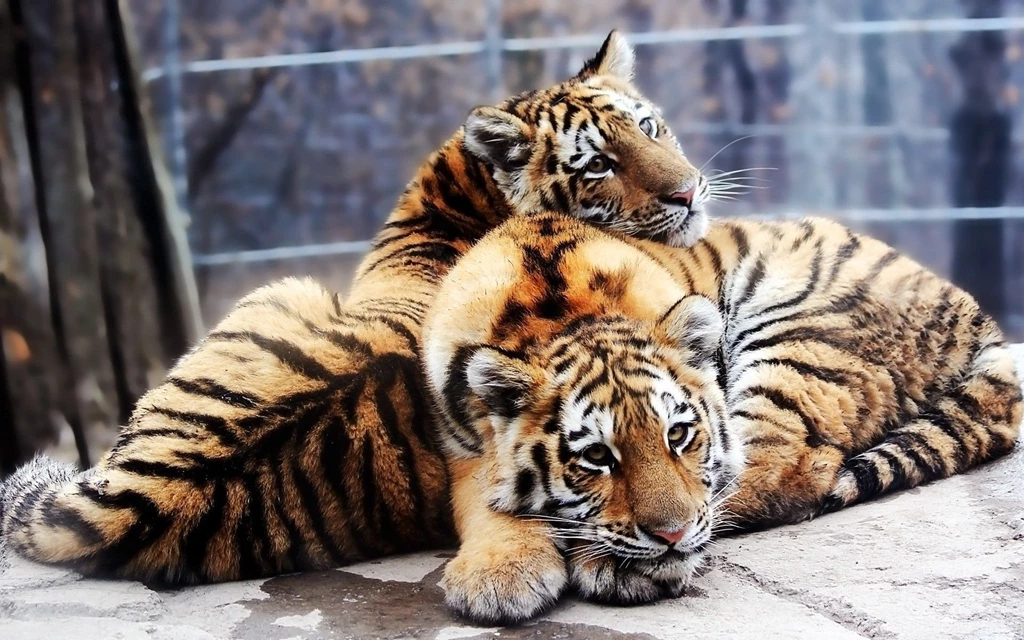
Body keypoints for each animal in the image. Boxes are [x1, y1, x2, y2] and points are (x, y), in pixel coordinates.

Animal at [422, 211, 1022, 624]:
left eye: (679, 435)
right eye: (596, 457)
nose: (671, 536)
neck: (557, 317)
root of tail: (973, 312)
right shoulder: (457, 445)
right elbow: (484, 501)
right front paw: (499, 577)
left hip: (796, 337)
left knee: (785, 470)